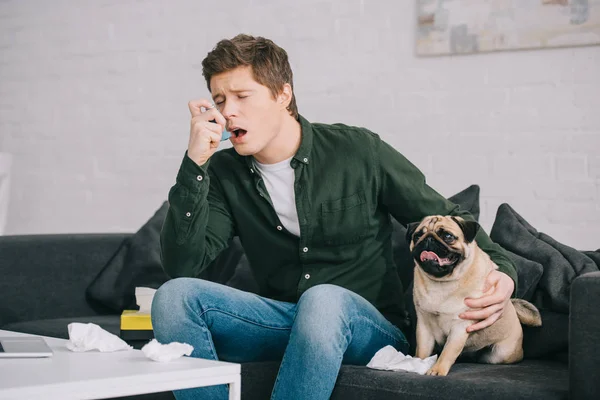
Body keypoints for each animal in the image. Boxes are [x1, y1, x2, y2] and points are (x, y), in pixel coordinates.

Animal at [408, 216, 540, 376]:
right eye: (417, 236)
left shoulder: (460, 327)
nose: (428, 239)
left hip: (501, 353)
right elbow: (422, 350)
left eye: (448, 236)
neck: (441, 283)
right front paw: (417, 364)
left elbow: (448, 352)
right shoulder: (424, 326)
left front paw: (437, 370)